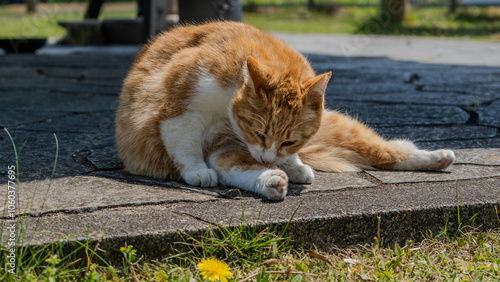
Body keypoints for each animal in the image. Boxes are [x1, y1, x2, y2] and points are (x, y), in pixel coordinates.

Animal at [114, 22, 458, 200]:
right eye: (258, 133)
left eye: (289, 140)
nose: (268, 158)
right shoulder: (181, 110)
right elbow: (186, 145)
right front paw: (197, 171)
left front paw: (292, 165)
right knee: (230, 166)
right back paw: (270, 181)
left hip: (348, 131)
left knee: (387, 151)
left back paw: (437, 157)